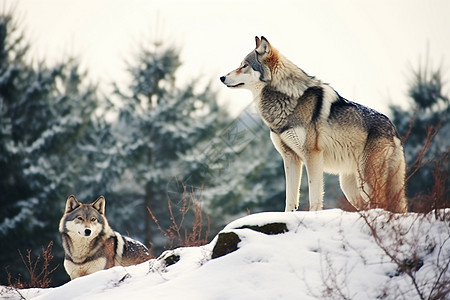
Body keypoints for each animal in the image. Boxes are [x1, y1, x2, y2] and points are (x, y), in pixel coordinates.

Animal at [221, 36, 408, 212]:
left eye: (244, 65)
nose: (222, 77)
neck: (286, 99)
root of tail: (393, 129)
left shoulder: (312, 155)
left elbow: (314, 195)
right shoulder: (290, 158)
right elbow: (290, 198)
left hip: (368, 180)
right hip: (350, 187)